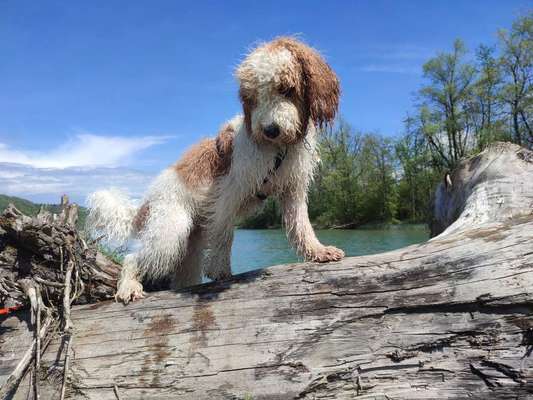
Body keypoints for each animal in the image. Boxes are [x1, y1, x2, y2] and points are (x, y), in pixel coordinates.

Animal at [86, 37, 344, 304]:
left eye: (286, 88)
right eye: (252, 97)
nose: (270, 130)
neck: (278, 149)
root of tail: (144, 204)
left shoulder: (292, 190)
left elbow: (302, 225)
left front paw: (318, 251)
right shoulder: (229, 191)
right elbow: (223, 233)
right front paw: (220, 270)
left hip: (188, 250)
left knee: (181, 277)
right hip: (169, 232)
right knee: (132, 257)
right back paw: (128, 287)